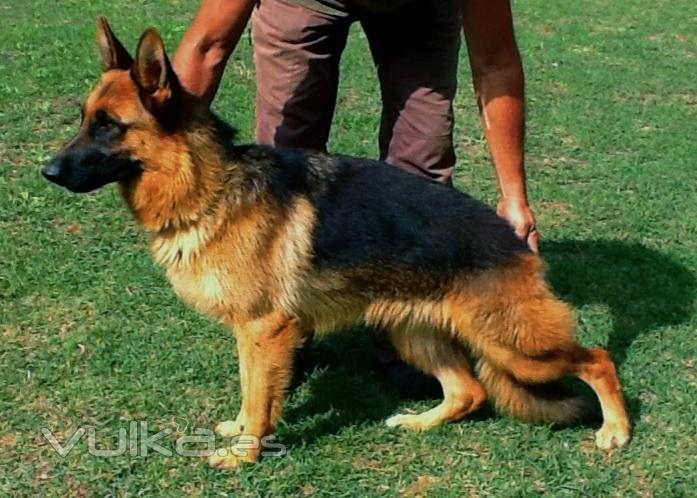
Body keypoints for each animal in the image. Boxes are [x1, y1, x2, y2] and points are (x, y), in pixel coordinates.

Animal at [43, 18, 632, 466]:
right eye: (84, 120)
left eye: (109, 126)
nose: (46, 171)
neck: (210, 188)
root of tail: (514, 240)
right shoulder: (251, 334)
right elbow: (250, 391)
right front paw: (240, 430)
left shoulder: (264, 330)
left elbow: (259, 396)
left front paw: (246, 455)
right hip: (415, 333)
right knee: (470, 392)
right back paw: (420, 422)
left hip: (516, 345)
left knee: (598, 359)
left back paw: (616, 429)